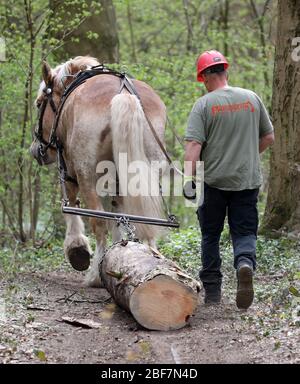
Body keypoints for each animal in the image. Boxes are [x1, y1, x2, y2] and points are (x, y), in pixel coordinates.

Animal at [30, 55, 166, 286]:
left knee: (99, 221)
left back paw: (95, 276)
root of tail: (124, 95)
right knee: (141, 218)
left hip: (87, 176)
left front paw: (77, 249)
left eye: (39, 104)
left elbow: (72, 207)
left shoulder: (70, 172)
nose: (35, 151)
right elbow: (119, 217)